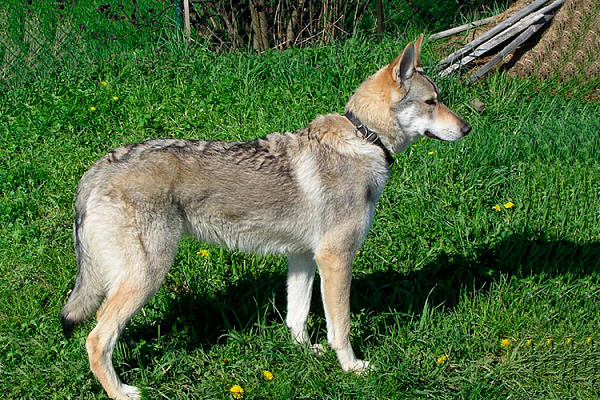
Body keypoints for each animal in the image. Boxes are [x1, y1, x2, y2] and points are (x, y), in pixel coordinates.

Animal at [62, 36, 474, 398]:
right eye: (432, 101)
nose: (468, 128)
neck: (364, 138)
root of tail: (96, 169)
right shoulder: (336, 259)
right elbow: (340, 326)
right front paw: (352, 367)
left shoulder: (304, 257)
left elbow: (297, 316)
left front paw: (305, 352)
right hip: (147, 277)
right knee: (96, 339)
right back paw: (120, 392)